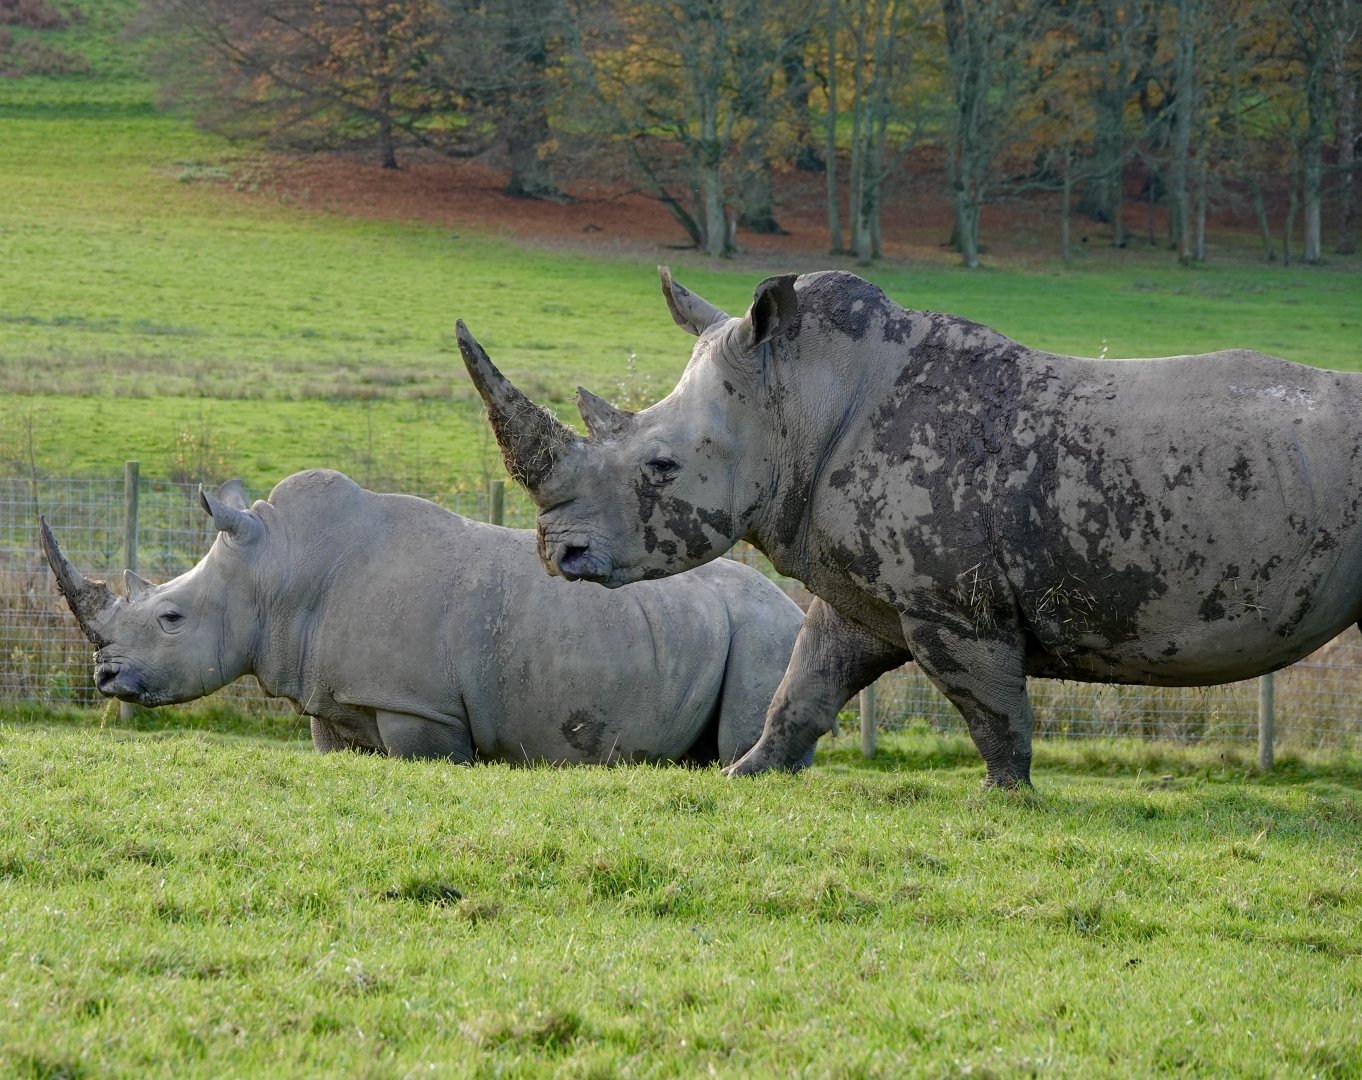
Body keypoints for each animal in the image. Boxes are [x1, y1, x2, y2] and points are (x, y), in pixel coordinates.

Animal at [41, 468, 803, 764]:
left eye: (170, 618)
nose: (104, 678)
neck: (279, 572)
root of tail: (796, 605)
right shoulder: (336, 700)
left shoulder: (420, 709)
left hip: (766, 634)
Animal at [457, 267, 1362, 787]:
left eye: (660, 468)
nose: (558, 553)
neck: (798, 398)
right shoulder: (861, 590)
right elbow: (803, 686)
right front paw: (748, 775)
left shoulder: (954, 606)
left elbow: (994, 712)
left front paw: (1008, 798)